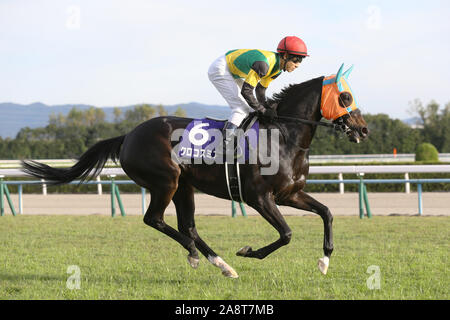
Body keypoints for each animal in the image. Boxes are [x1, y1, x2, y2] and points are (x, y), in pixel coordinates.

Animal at [21, 63, 368, 278]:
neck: (284, 135)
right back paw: (195, 254)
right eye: (345, 96)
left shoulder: (289, 194)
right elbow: (286, 234)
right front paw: (248, 251)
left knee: (188, 226)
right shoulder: (259, 197)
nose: (363, 130)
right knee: (155, 219)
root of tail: (128, 135)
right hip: (167, 181)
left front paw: (324, 261)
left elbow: (327, 213)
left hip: (184, 186)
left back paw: (222, 265)